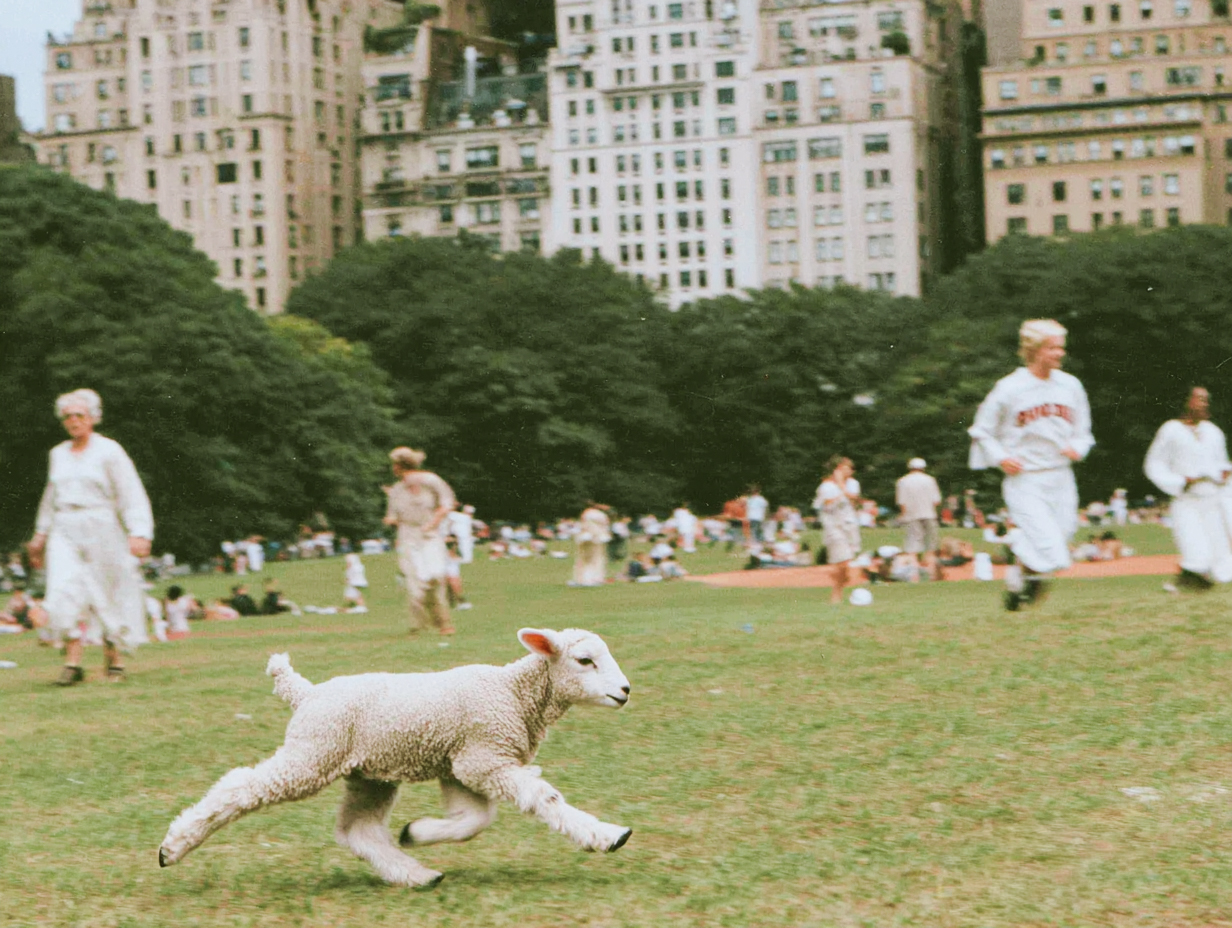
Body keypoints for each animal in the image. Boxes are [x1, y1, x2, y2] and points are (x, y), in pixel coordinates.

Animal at [157, 627, 633, 888]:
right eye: (584, 660)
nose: (625, 691)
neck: (515, 694)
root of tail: (304, 692)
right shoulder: (483, 758)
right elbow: (542, 799)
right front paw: (607, 835)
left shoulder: (463, 764)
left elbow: (473, 820)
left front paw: (417, 832)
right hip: (313, 753)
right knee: (240, 785)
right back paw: (173, 846)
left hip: (368, 773)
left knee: (357, 830)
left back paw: (417, 874)